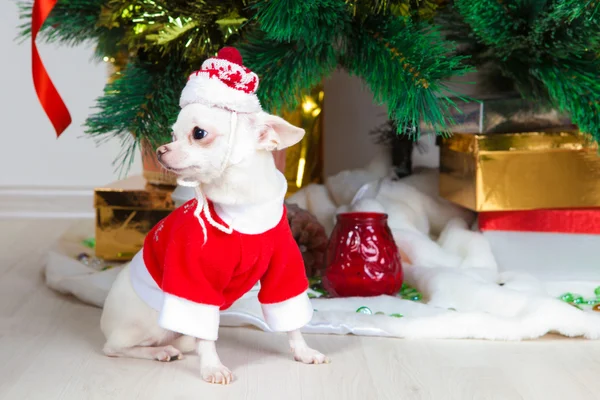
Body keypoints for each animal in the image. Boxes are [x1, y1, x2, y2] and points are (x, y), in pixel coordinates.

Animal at [101, 47, 330, 384]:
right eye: (172, 134)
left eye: (199, 133)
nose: (160, 150)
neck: (241, 207)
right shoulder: (193, 282)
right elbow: (206, 334)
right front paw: (213, 367)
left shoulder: (283, 268)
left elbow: (290, 319)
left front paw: (303, 351)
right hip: (148, 323)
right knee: (115, 348)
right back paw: (158, 351)